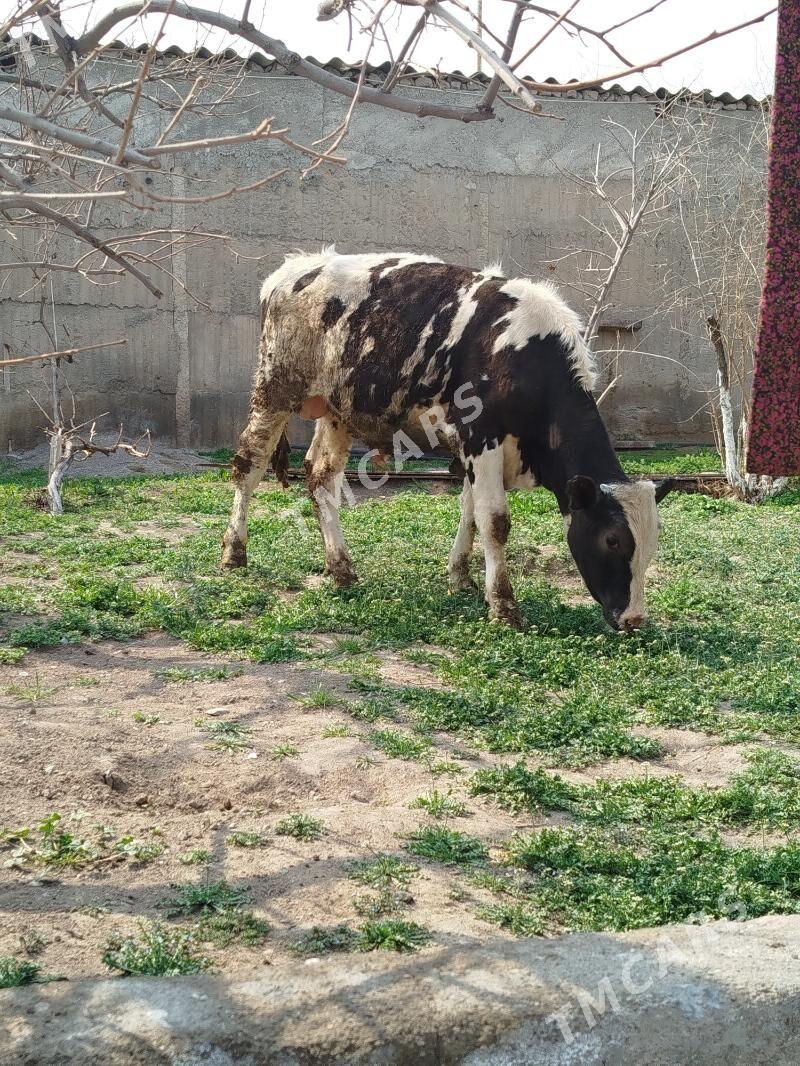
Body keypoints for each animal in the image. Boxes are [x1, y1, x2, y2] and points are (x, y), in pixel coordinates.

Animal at [222, 247, 674, 631]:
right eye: (612, 539)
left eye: (653, 540)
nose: (634, 618)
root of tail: (294, 266)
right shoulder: (482, 436)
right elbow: (494, 520)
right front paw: (503, 606)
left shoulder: (475, 449)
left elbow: (470, 512)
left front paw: (461, 578)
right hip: (275, 387)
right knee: (249, 464)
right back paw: (234, 552)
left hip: (338, 410)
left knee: (321, 479)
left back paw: (341, 568)